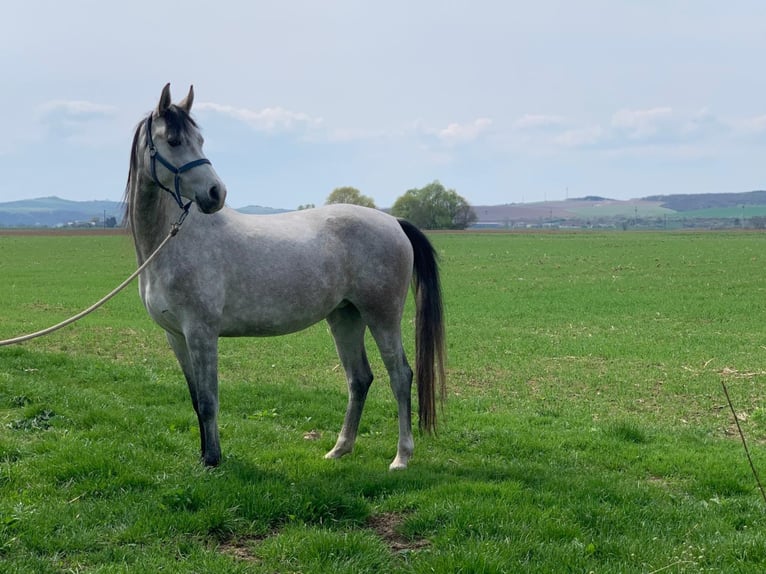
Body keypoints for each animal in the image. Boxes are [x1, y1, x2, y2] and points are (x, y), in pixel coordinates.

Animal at [124, 85, 448, 472]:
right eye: (173, 140)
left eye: (199, 140)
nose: (216, 193)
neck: (174, 242)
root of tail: (393, 222)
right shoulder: (176, 336)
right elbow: (194, 399)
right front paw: (204, 457)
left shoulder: (202, 333)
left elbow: (208, 400)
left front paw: (214, 460)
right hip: (345, 317)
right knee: (359, 378)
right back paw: (340, 448)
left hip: (381, 316)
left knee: (400, 375)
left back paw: (401, 456)